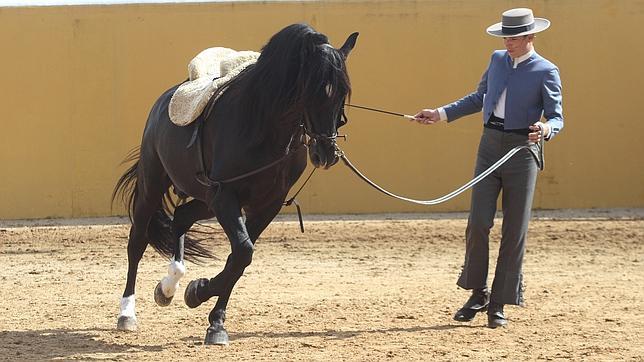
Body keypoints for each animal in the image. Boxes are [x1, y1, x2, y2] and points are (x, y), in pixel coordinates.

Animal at [113, 24, 360, 344]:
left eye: (342, 92)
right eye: (311, 90)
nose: (326, 153)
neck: (264, 129)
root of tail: (162, 103)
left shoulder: (266, 205)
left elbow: (238, 260)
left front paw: (211, 315)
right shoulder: (226, 197)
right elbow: (242, 253)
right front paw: (200, 292)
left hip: (205, 200)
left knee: (181, 217)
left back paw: (169, 286)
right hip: (153, 187)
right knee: (137, 242)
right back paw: (127, 313)